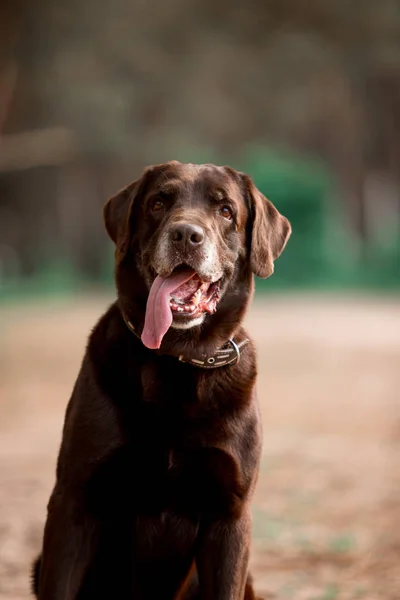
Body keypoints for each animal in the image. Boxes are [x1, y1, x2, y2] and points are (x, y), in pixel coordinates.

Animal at [31, 161, 290, 600]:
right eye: (157, 203)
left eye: (225, 210)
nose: (186, 234)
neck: (177, 358)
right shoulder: (73, 500)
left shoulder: (230, 515)